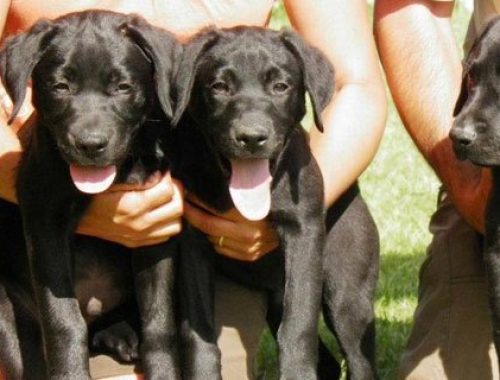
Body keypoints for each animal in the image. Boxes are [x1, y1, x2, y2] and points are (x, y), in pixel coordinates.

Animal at [0, 9, 181, 380]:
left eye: (123, 87)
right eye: (60, 86)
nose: (90, 144)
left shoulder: (156, 227)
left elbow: (159, 320)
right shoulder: (44, 220)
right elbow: (64, 321)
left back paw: (119, 333)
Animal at [172, 25, 378, 378]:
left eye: (280, 86)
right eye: (219, 87)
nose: (252, 137)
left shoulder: (303, 233)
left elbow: (297, 326)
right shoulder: (192, 238)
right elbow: (198, 330)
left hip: (348, 296)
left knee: (358, 358)